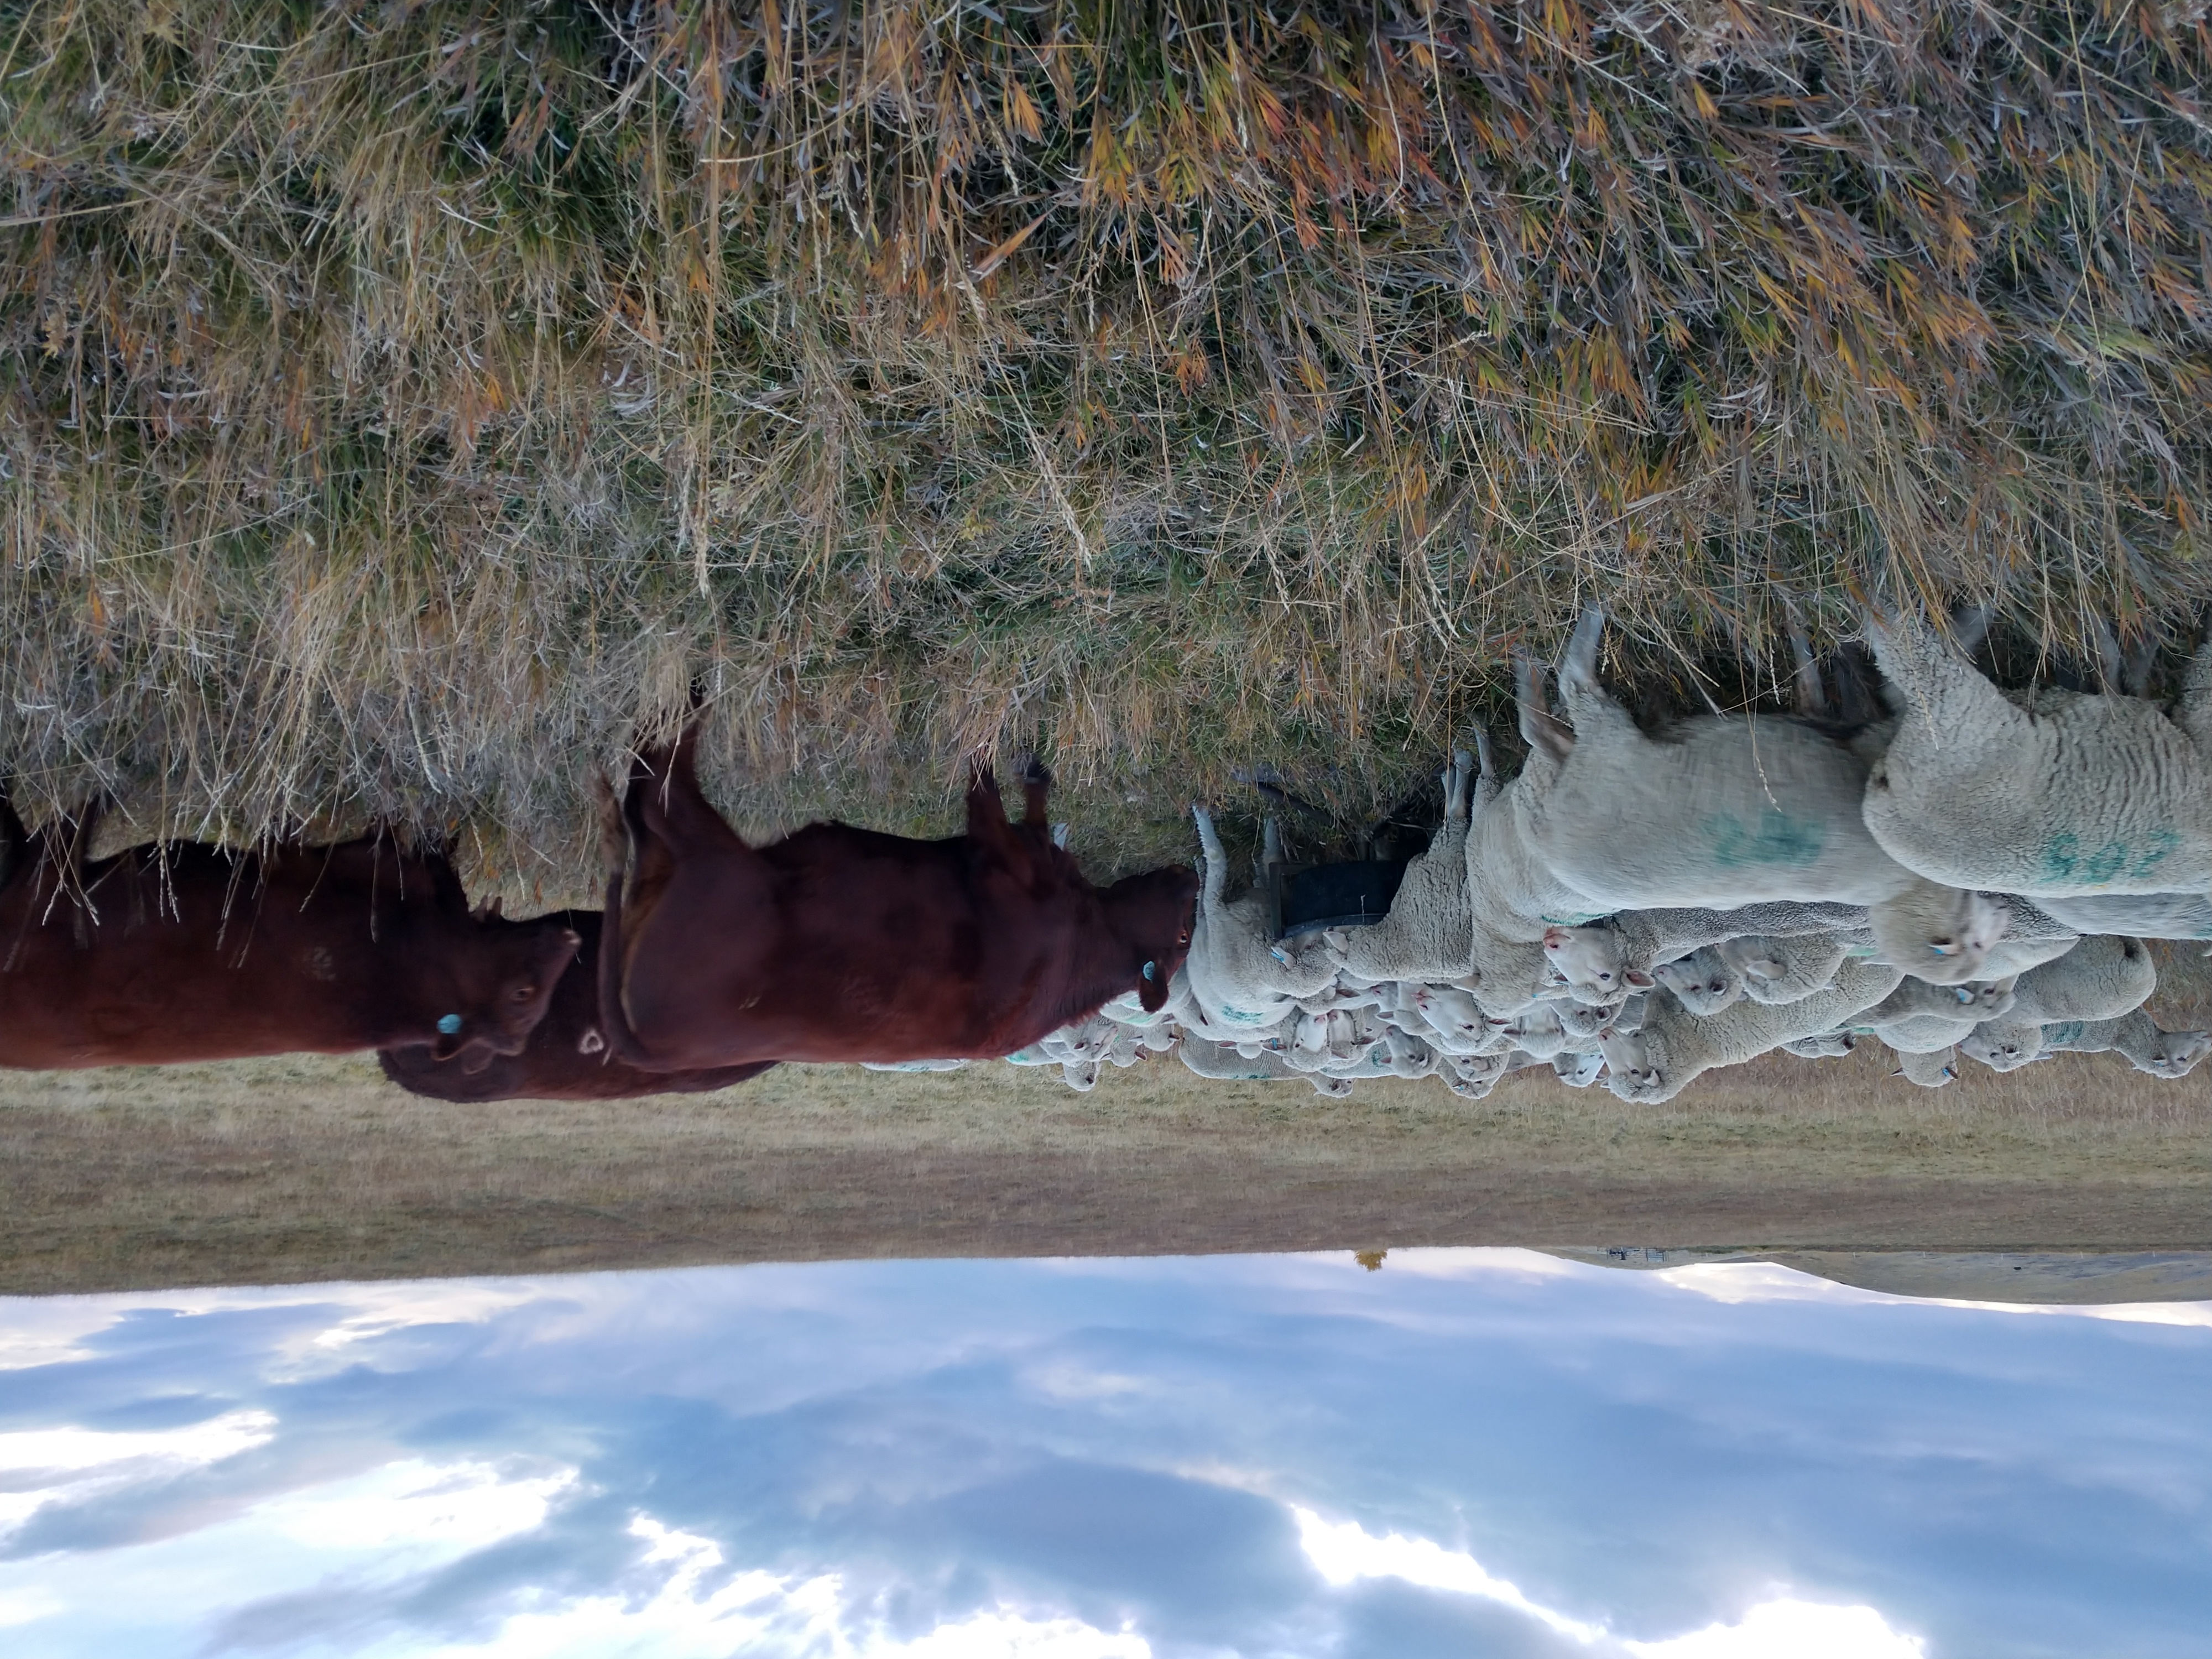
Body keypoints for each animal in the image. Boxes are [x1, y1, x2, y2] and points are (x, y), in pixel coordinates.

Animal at [594, 717, 1200, 1069]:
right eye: (1184, 935)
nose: (1193, 876)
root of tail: (649, 1046)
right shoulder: (1018, 855)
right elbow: (1029, 809)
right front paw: (1029, 768)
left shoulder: (1005, 859)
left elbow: (991, 802)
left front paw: (993, 760)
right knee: (647, 793)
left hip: (718, 862)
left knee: (655, 792)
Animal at [1184, 808, 1338, 1034]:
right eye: (1311, 946)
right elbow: (1271, 859)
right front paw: (1272, 823)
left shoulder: (1217, 911)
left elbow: (1217, 856)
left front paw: (1201, 815)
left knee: (1204, 900)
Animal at [1524, 608, 2004, 985]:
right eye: (1975, 944)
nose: (2003, 915)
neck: (1903, 881)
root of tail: (1548, 839)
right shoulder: (1888, 741)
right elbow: (1901, 688)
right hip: (1611, 746)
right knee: (1575, 687)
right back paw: (1580, 626)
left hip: (1602, 747)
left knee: (1555, 720)